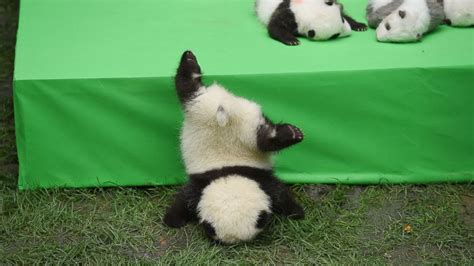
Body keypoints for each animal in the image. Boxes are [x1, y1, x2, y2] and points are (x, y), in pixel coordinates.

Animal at [163, 51, 304, 244]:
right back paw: (189, 60)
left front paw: (296, 212)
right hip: (203, 109)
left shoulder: (258, 178)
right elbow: (183, 200)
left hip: (239, 124)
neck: (229, 173)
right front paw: (172, 220)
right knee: (187, 88)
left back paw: (291, 133)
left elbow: (280, 194)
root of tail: (223, 112)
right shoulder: (202, 184)